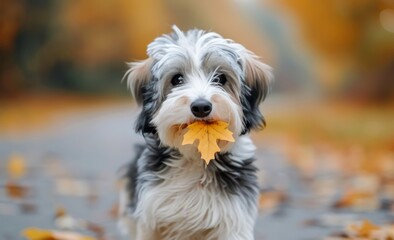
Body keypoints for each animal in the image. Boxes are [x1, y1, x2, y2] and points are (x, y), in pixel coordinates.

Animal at [119, 25, 274, 239]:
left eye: (220, 78)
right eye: (177, 79)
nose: (201, 107)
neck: (196, 156)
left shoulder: (234, 220)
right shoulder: (151, 219)